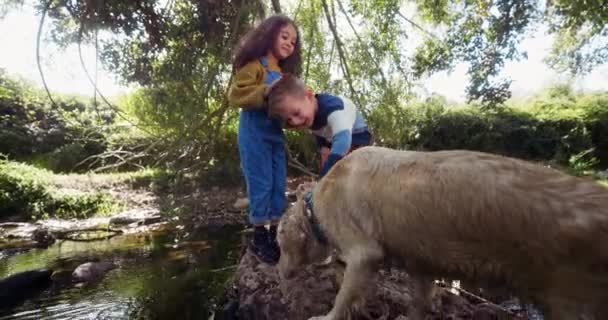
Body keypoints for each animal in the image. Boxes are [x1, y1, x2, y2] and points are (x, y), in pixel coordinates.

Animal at [276, 146, 608, 318]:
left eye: (279, 240)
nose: (278, 272)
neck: (314, 205)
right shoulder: (421, 265)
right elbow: (419, 303)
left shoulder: (364, 254)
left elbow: (343, 299)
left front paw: (325, 315)